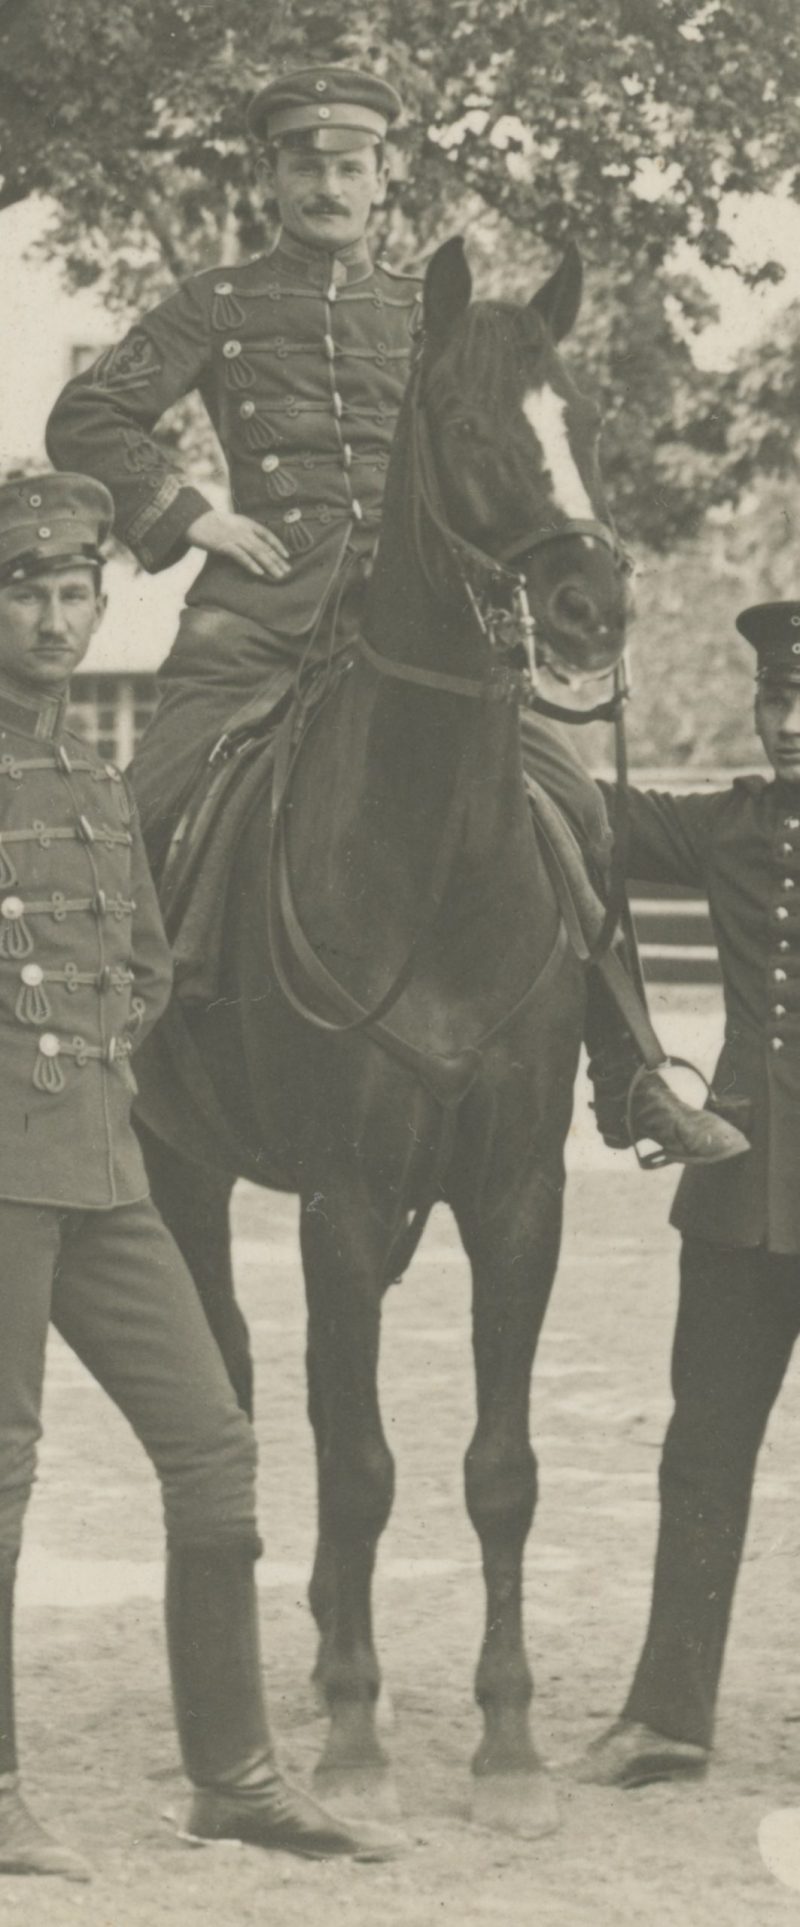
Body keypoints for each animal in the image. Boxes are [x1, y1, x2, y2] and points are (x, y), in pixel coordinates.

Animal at [140, 240, 632, 1834]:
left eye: (581, 421)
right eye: (469, 425)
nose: (592, 606)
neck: (433, 861)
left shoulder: (516, 1196)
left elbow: (499, 1466)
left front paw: (509, 1742)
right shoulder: (345, 1199)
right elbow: (358, 1461)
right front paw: (357, 1739)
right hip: (179, 1173)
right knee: (240, 1386)